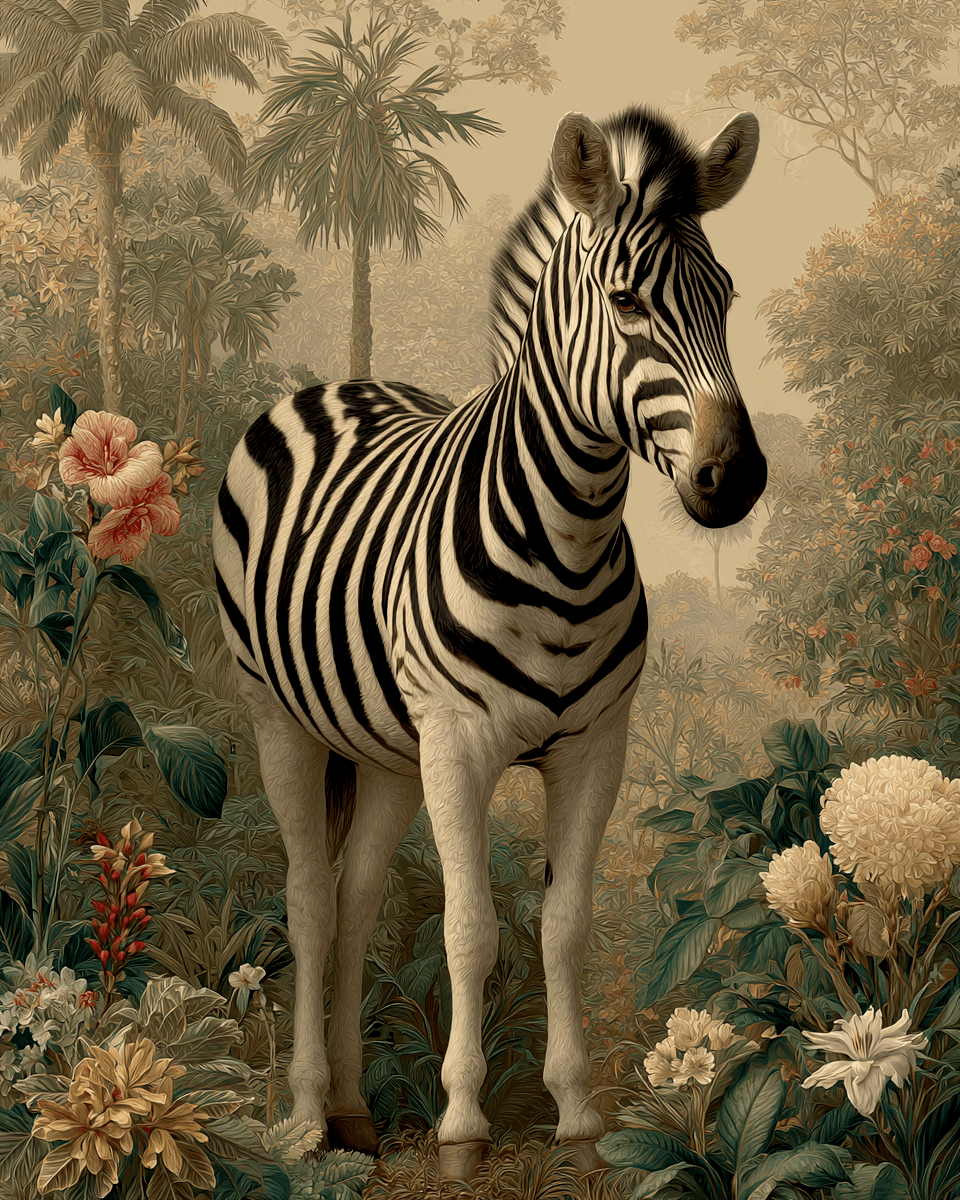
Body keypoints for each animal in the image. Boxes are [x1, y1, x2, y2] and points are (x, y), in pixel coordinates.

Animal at [213, 104, 767, 1181]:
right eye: (626, 301)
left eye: (725, 297)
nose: (738, 478)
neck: (569, 537)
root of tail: (333, 384)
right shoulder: (461, 743)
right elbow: (469, 928)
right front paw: (465, 1126)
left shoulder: (596, 746)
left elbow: (563, 925)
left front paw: (579, 1116)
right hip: (280, 716)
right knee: (307, 898)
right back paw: (303, 1119)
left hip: (389, 750)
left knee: (355, 899)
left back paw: (353, 1110)